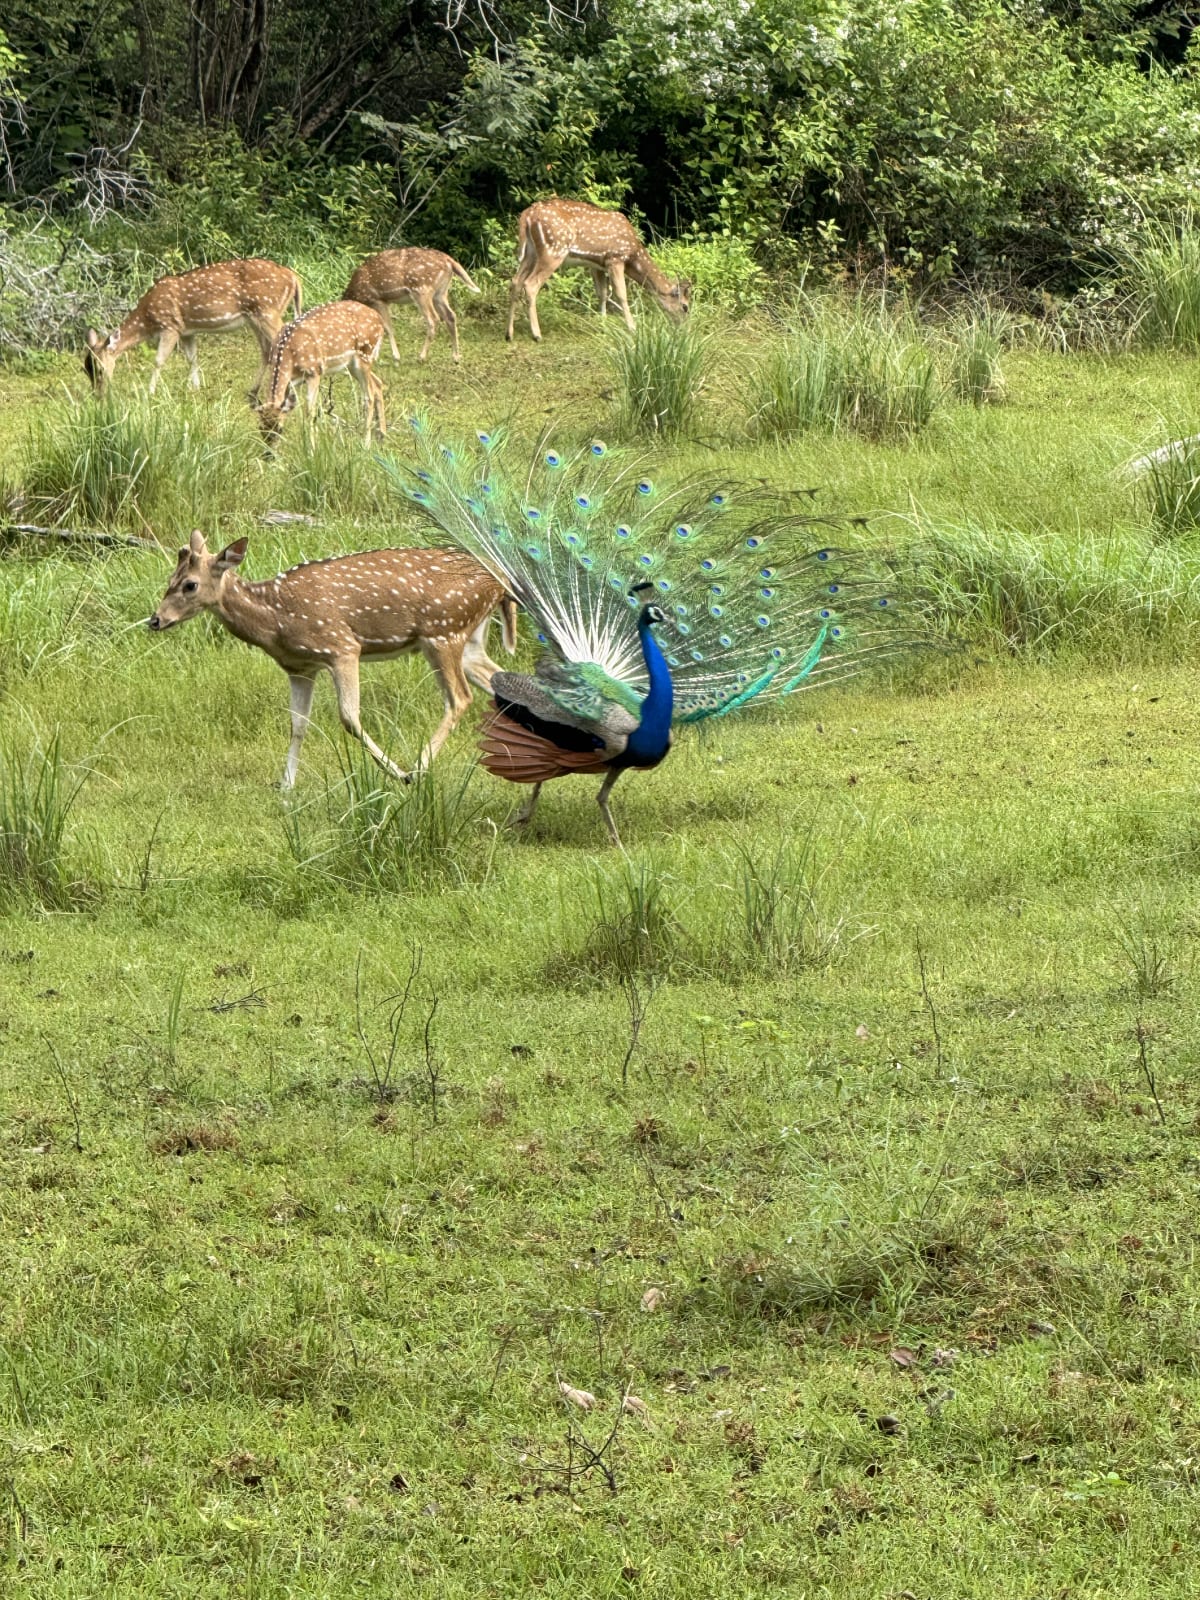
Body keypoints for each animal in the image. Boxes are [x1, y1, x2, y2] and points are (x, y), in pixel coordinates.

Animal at [84, 258, 302, 399]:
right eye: (85, 370)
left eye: (100, 369)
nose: (97, 396)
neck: (147, 319)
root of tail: (294, 278)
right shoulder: (187, 331)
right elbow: (192, 358)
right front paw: (196, 388)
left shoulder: (170, 326)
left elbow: (158, 360)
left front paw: (149, 392)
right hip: (255, 317)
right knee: (267, 349)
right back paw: (253, 391)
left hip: (267, 310)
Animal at [148, 531, 519, 788]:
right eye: (169, 580)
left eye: (190, 585)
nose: (155, 620)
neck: (275, 621)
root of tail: (502, 583)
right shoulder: (300, 668)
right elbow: (298, 725)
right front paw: (286, 787)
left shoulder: (342, 647)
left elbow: (349, 717)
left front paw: (396, 772)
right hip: (469, 640)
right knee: (503, 684)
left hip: (444, 631)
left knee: (460, 698)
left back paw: (418, 767)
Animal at [255, 301, 387, 446]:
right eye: (261, 428)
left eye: (279, 429)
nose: (269, 451)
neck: (288, 355)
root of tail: (379, 319)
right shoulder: (293, 382)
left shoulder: (314, 371)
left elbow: (309, 411)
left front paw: (311, 447)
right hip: (352, 365)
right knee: (377, 383)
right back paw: (382, 435)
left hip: (365, 354)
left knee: (369, 394)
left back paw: (366, 443)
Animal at [344, 248, 482, 363]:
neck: (357, 295)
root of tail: (450, 261)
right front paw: (376, 356)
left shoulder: (378, 300)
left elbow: (387, 328)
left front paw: (395, 356)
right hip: (440, 292)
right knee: (451, 316)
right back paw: (456, 357)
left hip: (422, 289)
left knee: (433, 319)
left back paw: (422, 356)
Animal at [506, 199, 691, 343]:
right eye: (685, 307)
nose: (684, 328)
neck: (633, 255)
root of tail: (527, 216)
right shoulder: (615, 258)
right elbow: (621, 294)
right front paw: (632, 327)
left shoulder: (596, 265)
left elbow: (602, 293)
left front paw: (603, 325)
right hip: (552, 250)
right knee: (530, 285)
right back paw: (537, 335)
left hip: (530, 252)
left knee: (515, 281)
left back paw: (509, 334)